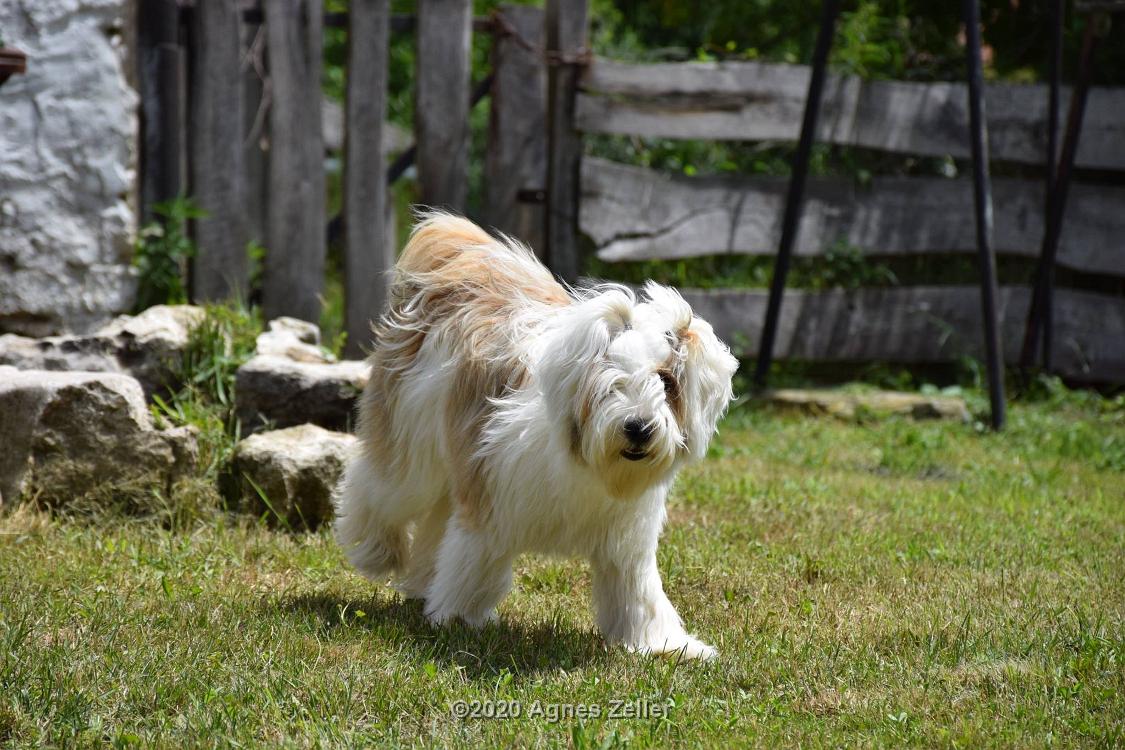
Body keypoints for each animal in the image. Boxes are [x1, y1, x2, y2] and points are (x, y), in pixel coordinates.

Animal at [333, 210, 738, 656]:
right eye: (610, 381)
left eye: (666, 381)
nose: (638, 427)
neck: (585, 464)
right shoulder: (489, 499)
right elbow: (474, 561)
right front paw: (459, 619)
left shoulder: (626, 537)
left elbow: (637, 591)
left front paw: (662, 644)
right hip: (411, 438)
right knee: (379, 487)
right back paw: (377, 553)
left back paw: (422, 583)